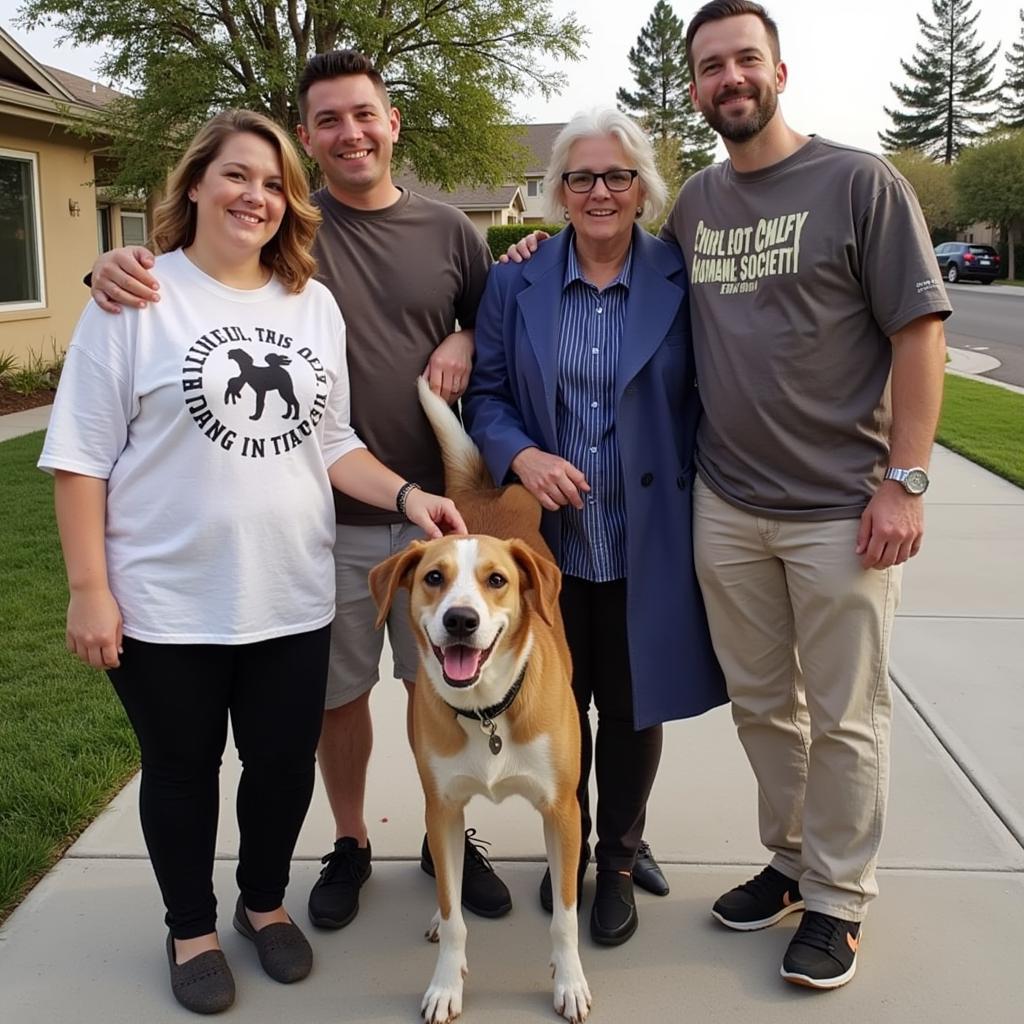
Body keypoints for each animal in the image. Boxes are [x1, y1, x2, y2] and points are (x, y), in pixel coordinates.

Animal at [370, 382, 593, 1024]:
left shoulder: (562, 811)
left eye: (496, 581)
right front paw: (446, 983)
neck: (490, 709)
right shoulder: (442, 808)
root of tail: (486, 492)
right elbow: (453, 915)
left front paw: (569, 980)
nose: (461, 621)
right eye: (433, 578)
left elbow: (565, 918)